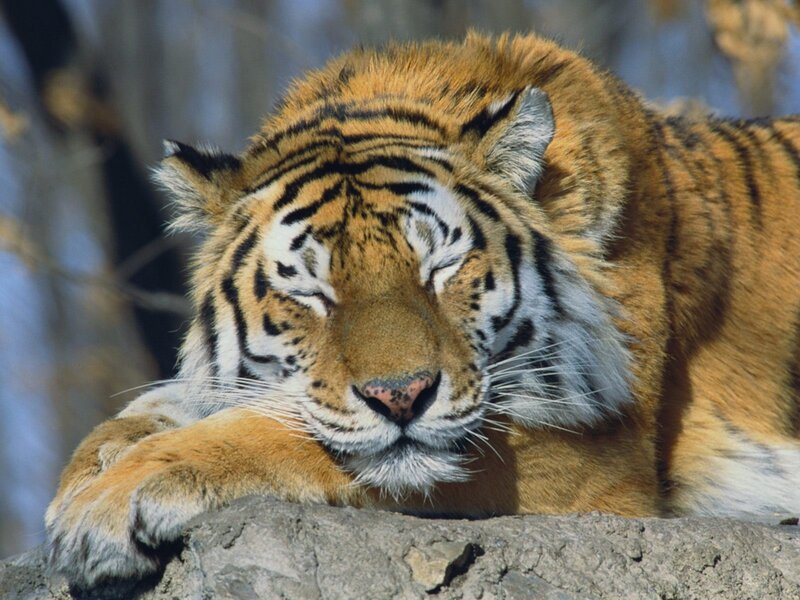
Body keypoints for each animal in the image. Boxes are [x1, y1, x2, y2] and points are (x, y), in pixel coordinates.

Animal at [45, 32, 800, 590]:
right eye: (313, 292)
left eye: (439, 270)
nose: (400, 396)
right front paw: (92, 468)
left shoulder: (596, 458)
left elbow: (280, 434)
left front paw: (109, 502)